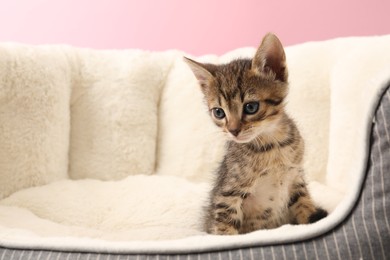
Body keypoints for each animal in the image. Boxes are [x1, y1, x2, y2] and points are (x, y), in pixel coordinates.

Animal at [184, 33, 328, 236]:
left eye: (251, 107)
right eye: (219, 112)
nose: (233, 130)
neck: (272, 145)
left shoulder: (296, 178)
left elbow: (305, 205)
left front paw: (312, 219)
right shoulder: (227, 194)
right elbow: (225, 228)